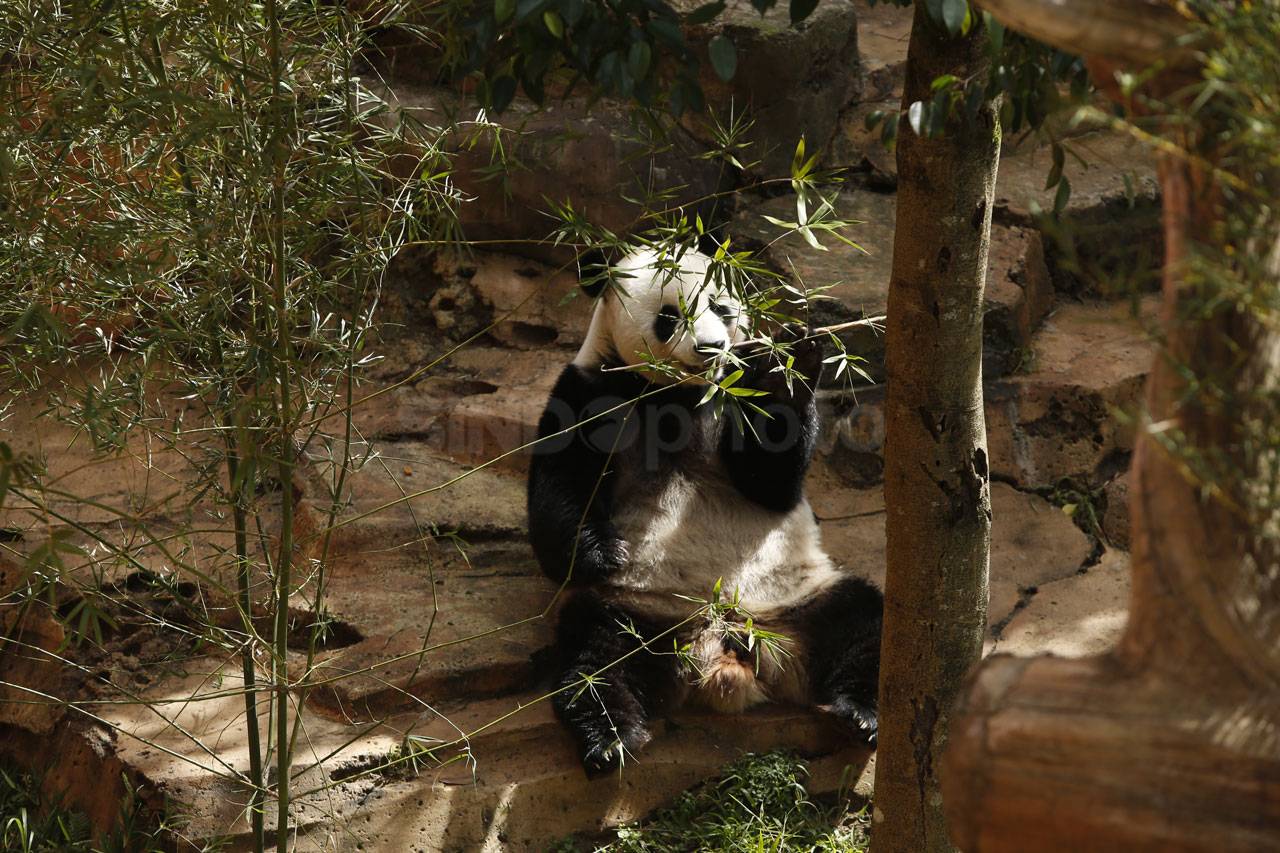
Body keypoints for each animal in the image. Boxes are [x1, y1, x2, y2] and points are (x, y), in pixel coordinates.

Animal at [527, 244, 883, 776]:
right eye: (670, 317)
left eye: (722, 306)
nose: (712, 348)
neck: (681, 395)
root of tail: (725, 647)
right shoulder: (592, 392)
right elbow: (559, 483)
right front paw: (600, 552)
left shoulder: (733, 398)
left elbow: (771, 480)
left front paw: (783, 366)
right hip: (639, 613)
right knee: (594, 658)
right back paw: (610, 739)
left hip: (800, 599)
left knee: (866, 625)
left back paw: (858, 714)